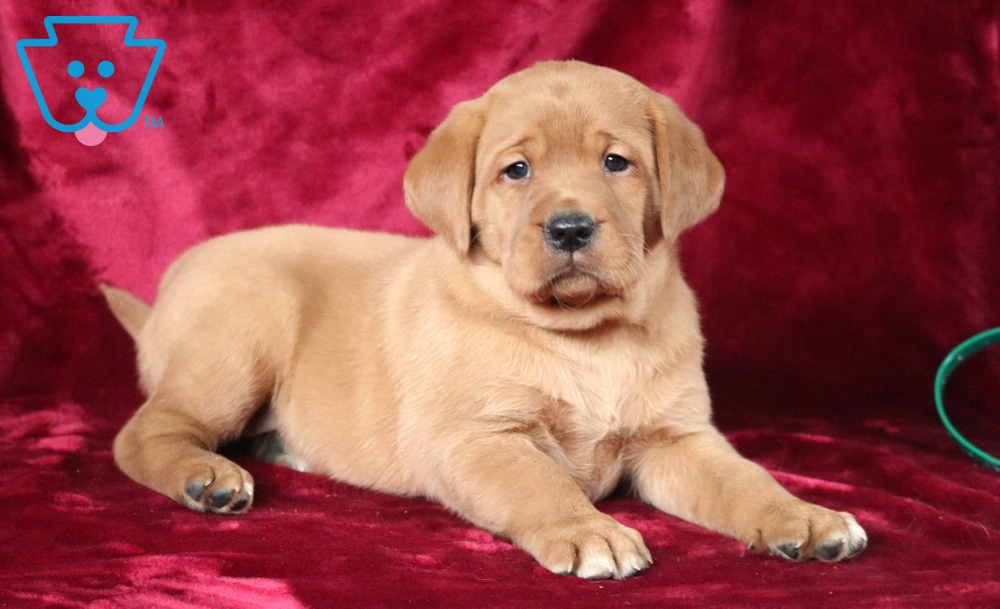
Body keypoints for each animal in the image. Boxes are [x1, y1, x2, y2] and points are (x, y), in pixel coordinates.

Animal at [102, 60, 867, 580]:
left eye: (615, 162)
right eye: (516, 170)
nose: (568, 227)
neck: (587, 339)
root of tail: (164, 291)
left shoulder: (676, 438)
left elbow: (747, 480)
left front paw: (804, 514)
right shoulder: (474, 437)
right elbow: (541, 482)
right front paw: (588, 528)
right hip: (239, 341)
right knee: (144, 431)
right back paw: (207, 476)